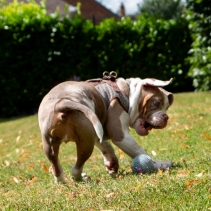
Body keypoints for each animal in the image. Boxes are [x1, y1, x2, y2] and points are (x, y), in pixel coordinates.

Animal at [38, 76, 173, 183]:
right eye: (155, 103)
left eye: (167, 107)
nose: (166, 117)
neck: (128, 93)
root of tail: (62, 102)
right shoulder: (120, 135)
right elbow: (140, 152)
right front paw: (161, 164)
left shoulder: (97, 133)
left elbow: (106, 146)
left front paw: (112, 164)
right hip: (86, 143)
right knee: (76, 168)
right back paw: (82, 178)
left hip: (50, 144)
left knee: (56, 166)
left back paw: (62, 181)